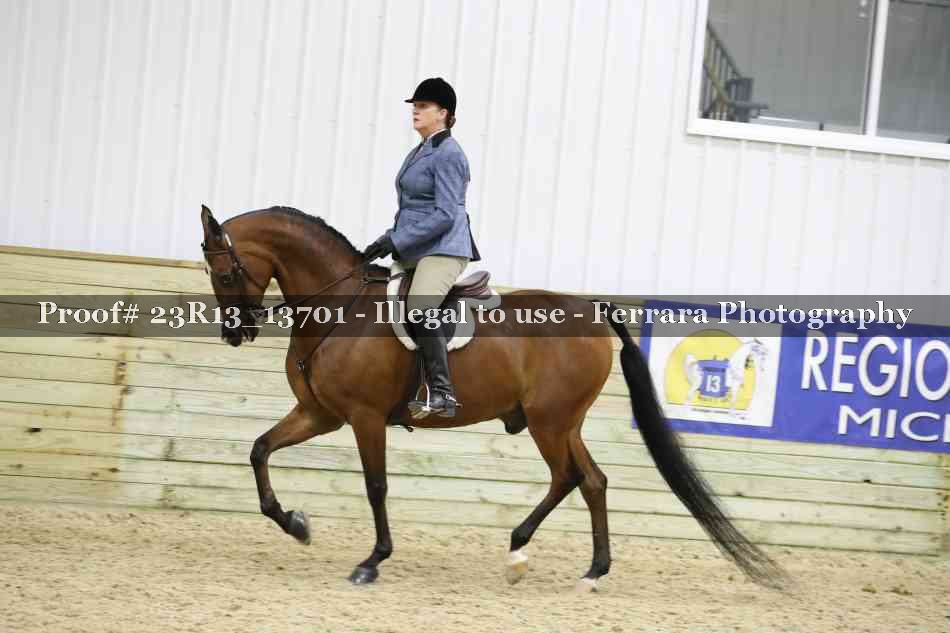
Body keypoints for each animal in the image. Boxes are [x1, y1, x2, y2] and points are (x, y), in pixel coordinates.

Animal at [199, 204, 785, 591]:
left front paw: (372, 560)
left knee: (569, 477)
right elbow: (259, 449)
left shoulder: (363, 418)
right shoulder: (319, 413)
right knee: (590, 480)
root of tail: (593, 309)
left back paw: (528, 549)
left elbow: (375, 487)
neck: (341, 309)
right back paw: (586, 568)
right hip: (562, 423)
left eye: (223, 270)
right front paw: (294, 524)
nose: (235, 333)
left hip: (550, 422)